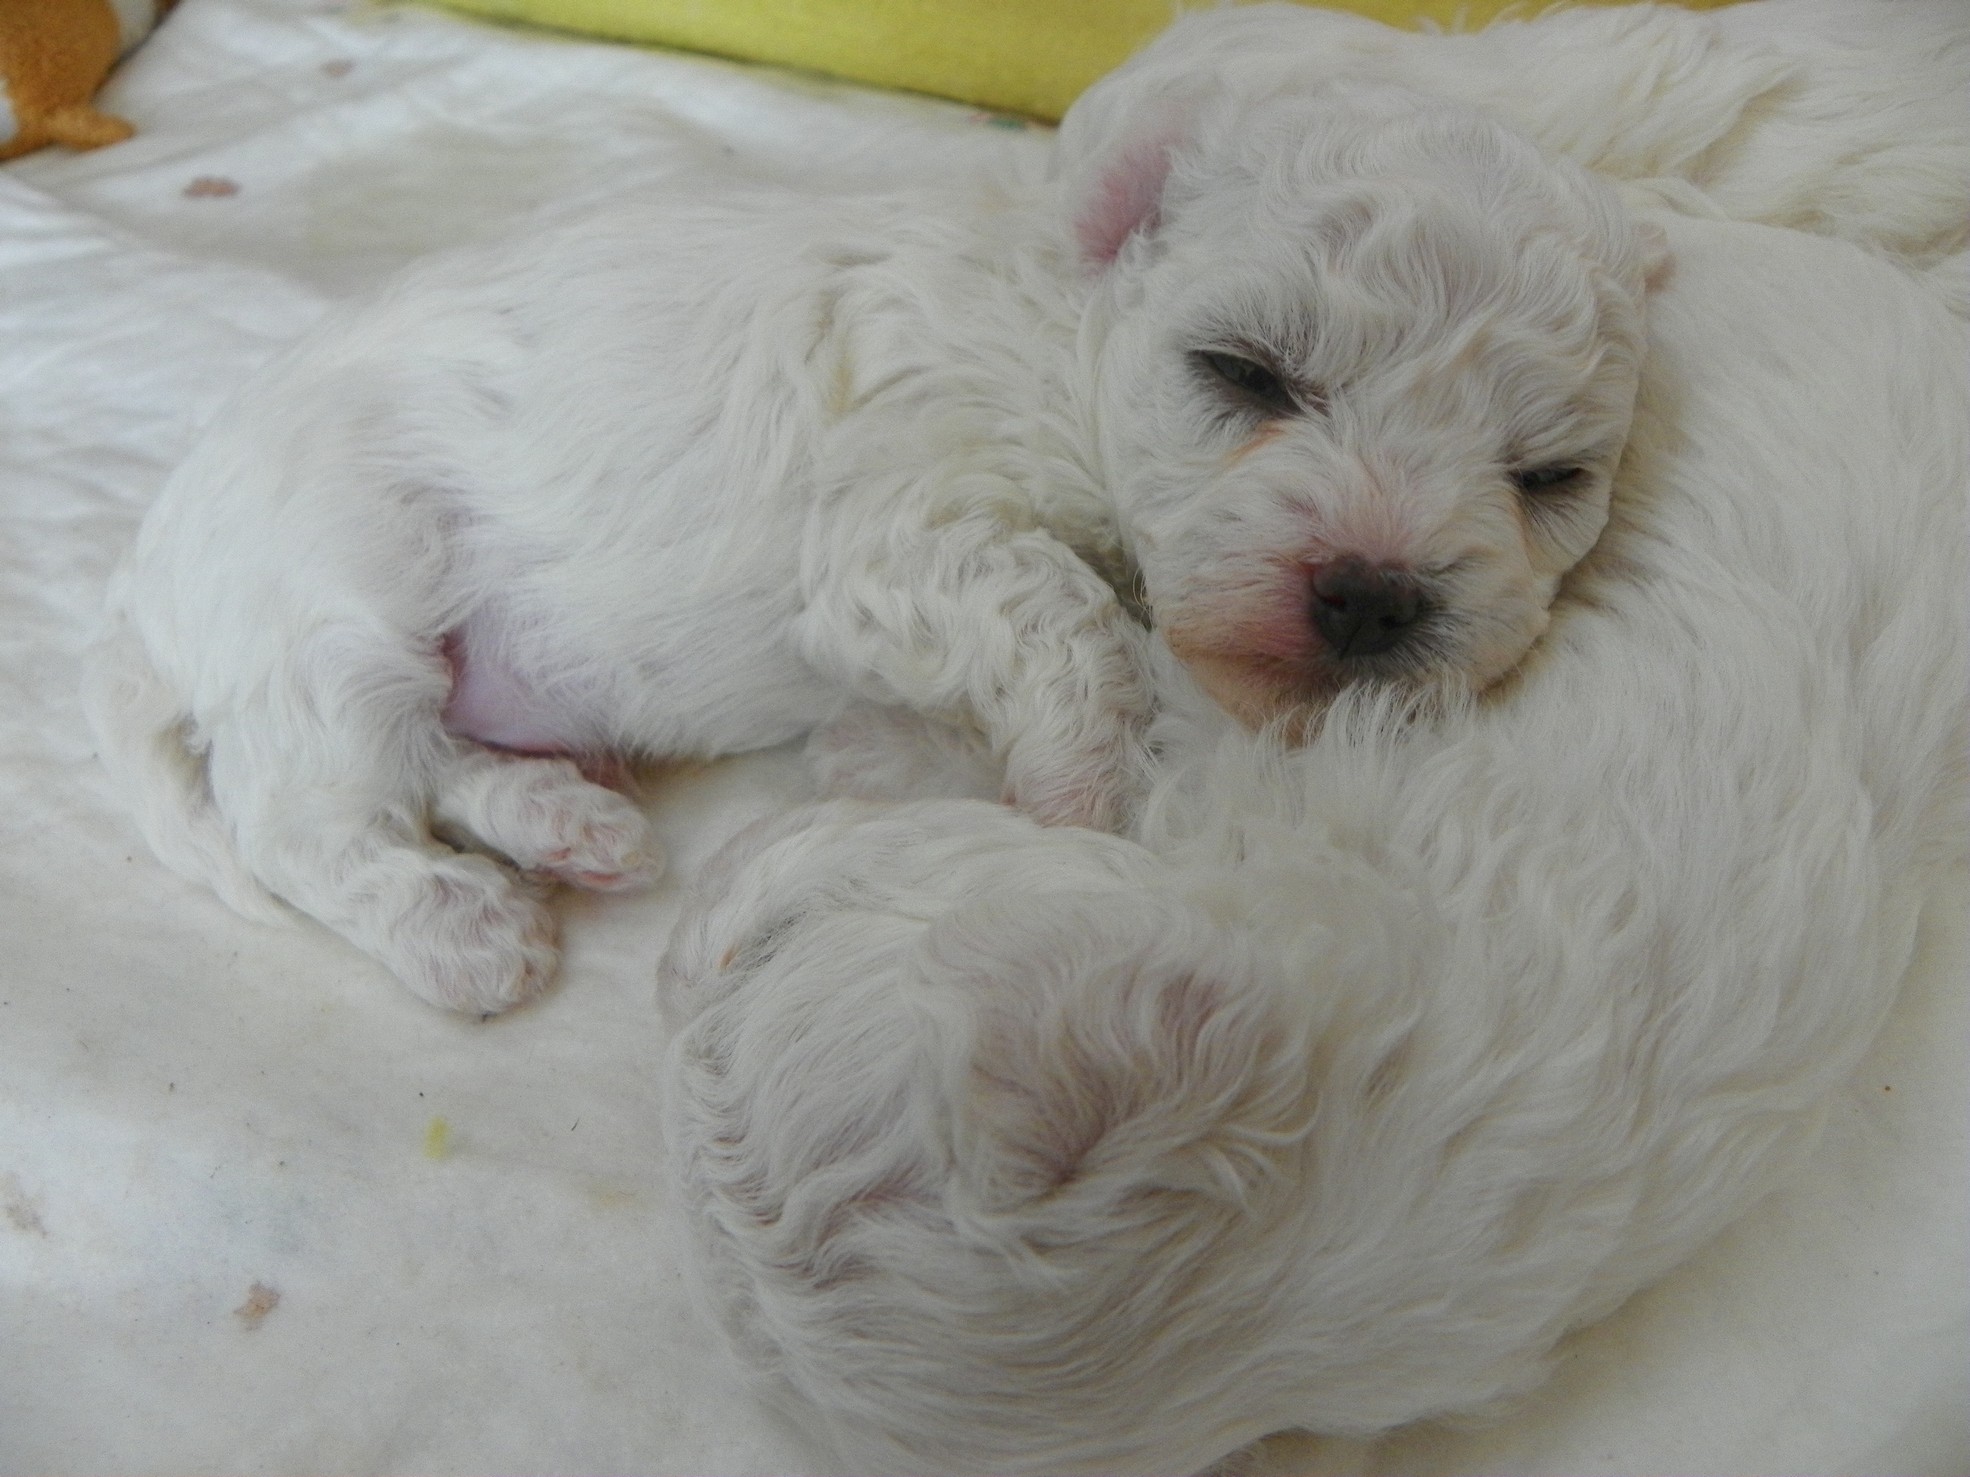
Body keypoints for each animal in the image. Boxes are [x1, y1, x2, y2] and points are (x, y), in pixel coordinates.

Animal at [85, 73, 1661, 1013]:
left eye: (1549, 474)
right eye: (1244, 374)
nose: (1375, 595)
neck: (1061, 327)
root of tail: (144, 606)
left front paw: (894, 758)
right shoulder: (890, 536)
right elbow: (1065, 613)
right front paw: (1078, 781)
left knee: (427, 761)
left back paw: (565, 821)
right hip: (330, 605)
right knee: (305, 816)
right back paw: (456, 930)